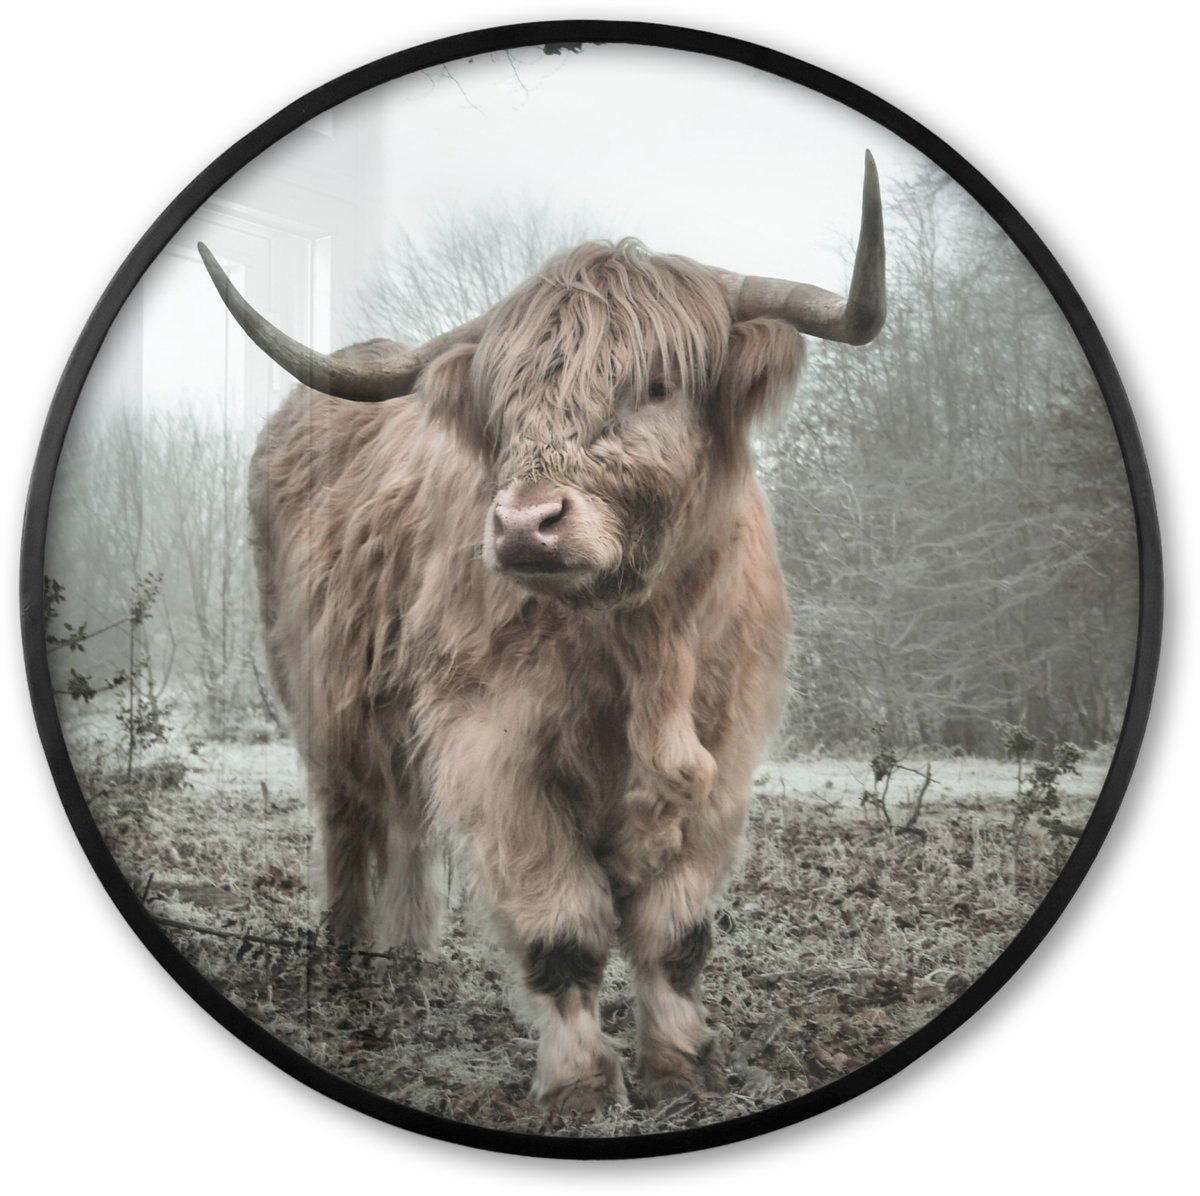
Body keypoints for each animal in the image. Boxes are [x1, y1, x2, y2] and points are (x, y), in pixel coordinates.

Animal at [199, 153, 885, 1113]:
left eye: (657, 385)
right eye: (506, 404)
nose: (527, 525)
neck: (642, 645)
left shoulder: (724, 755)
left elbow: (676, 931)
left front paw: (682, 1068)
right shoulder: (495, 751)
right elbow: (564, 927)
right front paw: (580, 1086)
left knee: (405, 828)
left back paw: (407, 959)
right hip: (322, 700)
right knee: (350, 823)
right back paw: (350, 962)